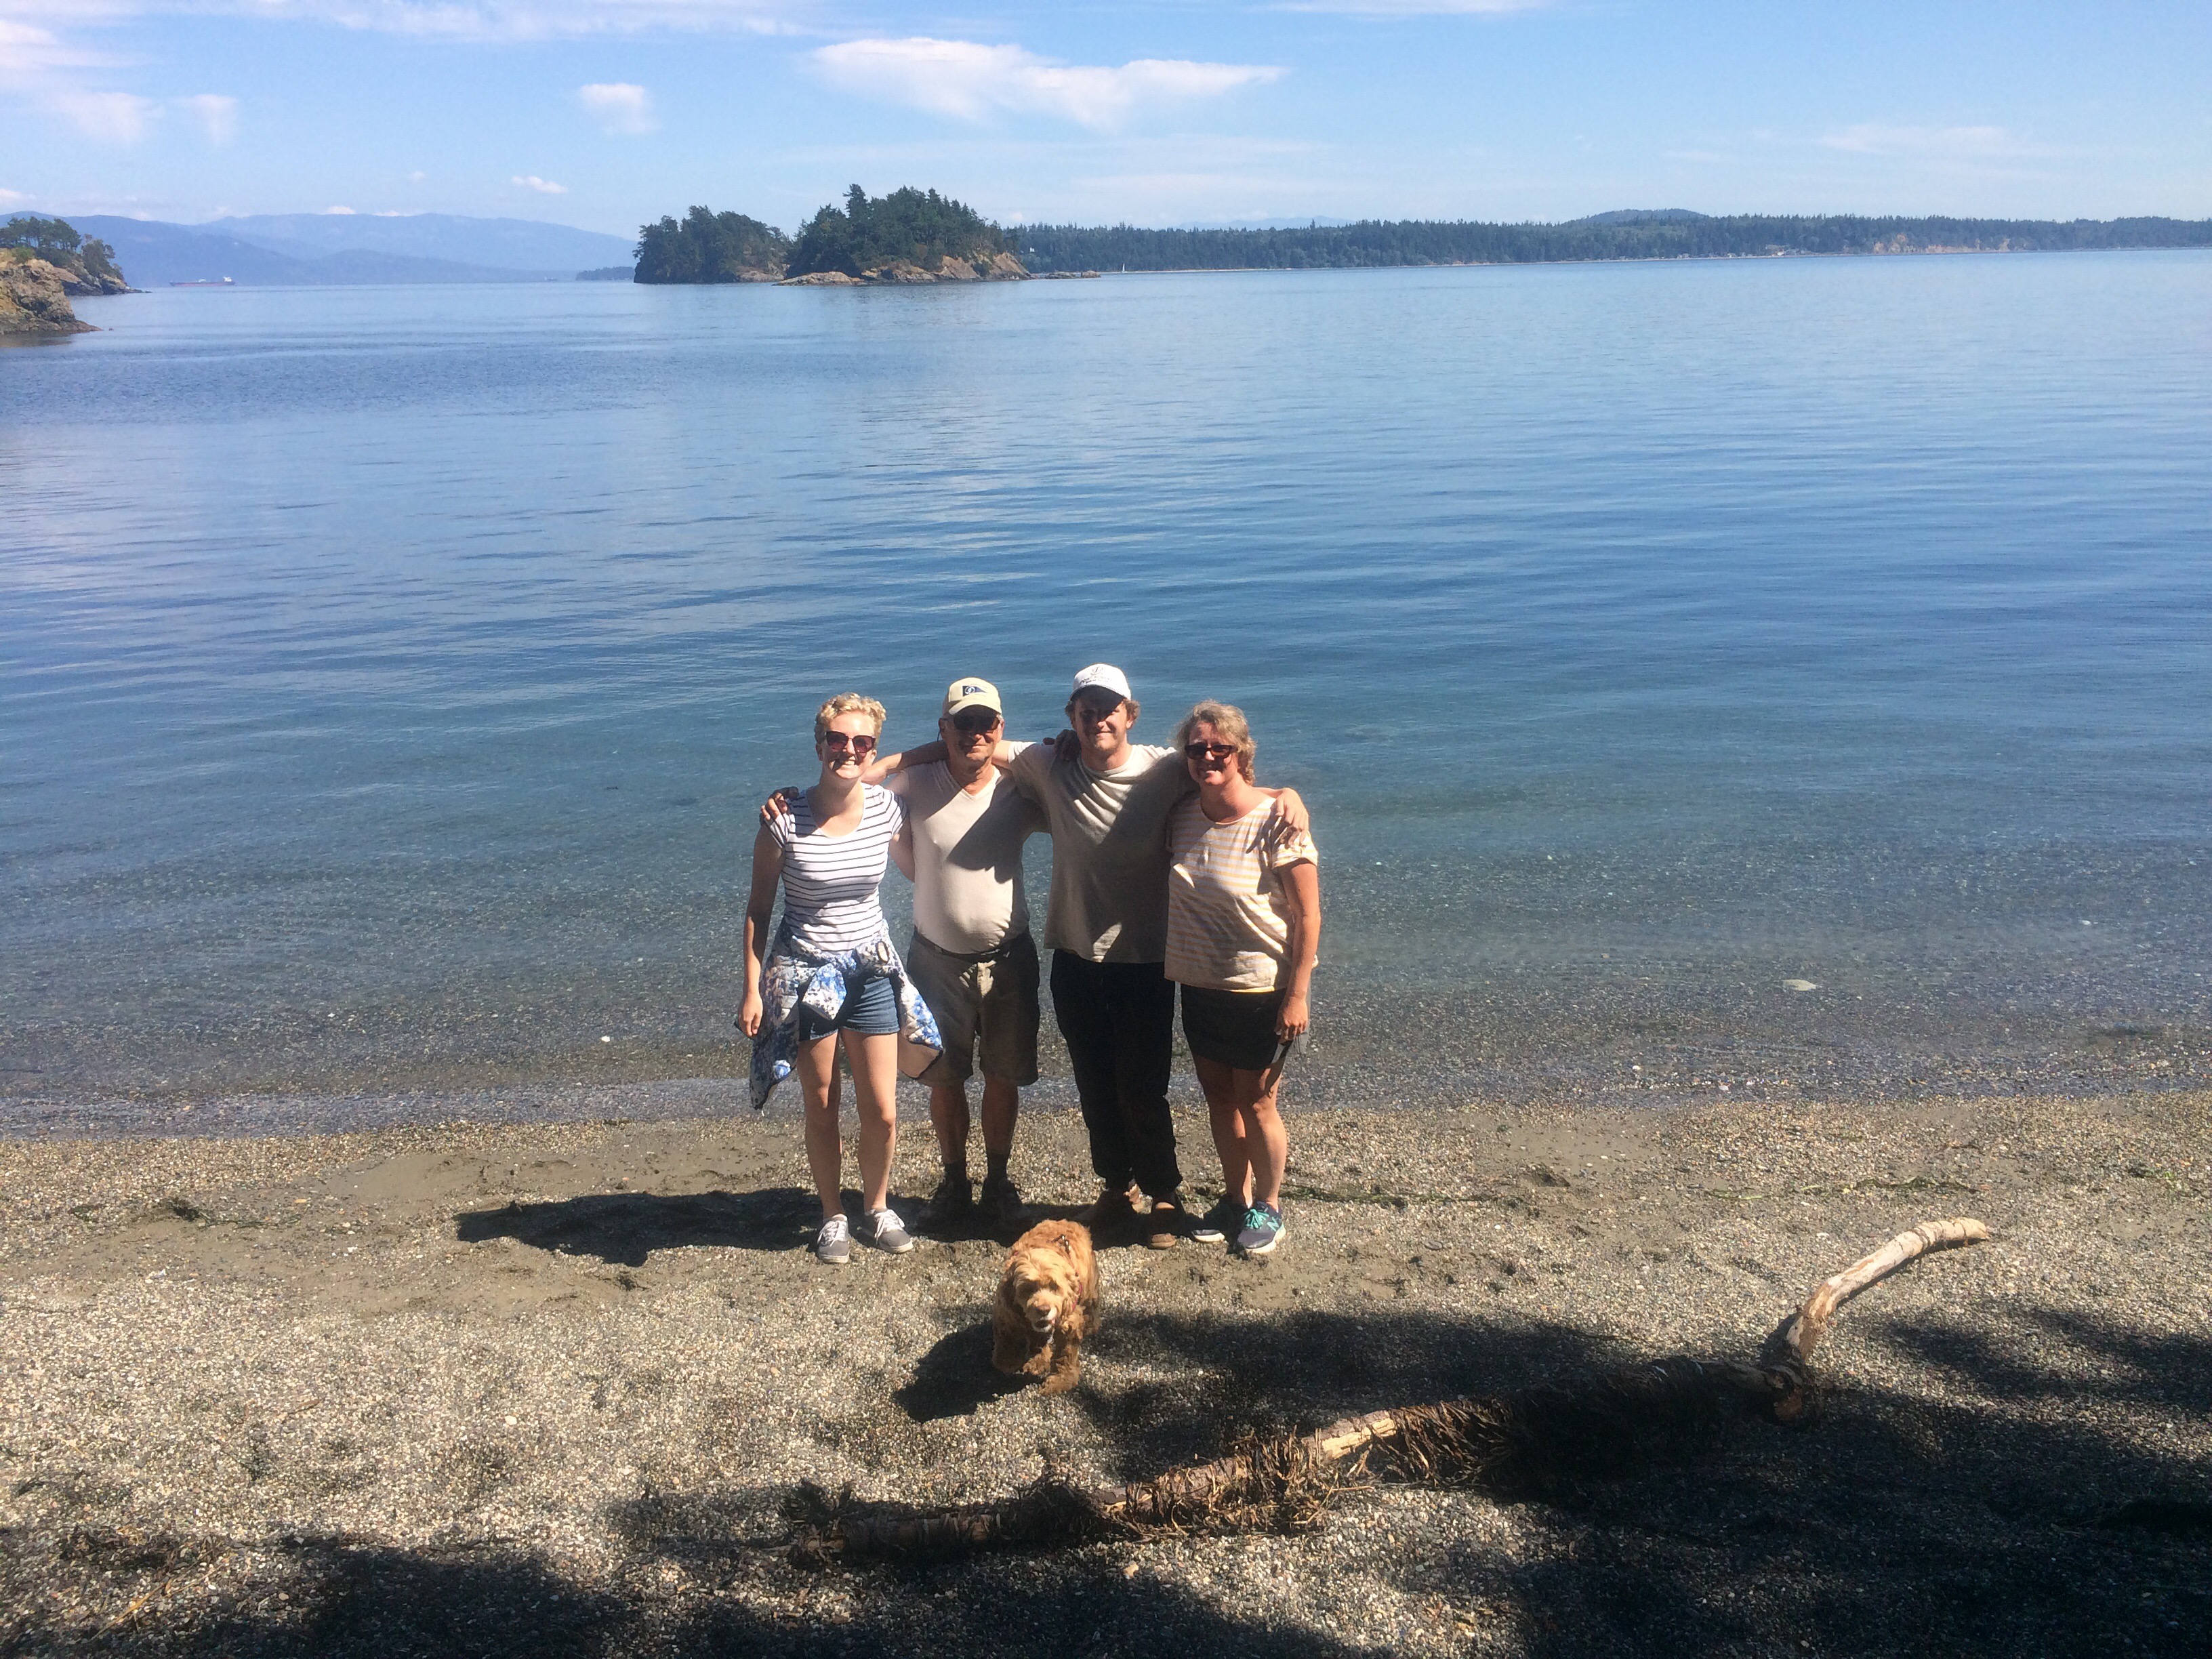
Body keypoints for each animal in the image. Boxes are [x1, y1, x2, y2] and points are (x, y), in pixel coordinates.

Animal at [991, 1219, 1099, 1396]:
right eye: (1028, 1288)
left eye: (1054, 1287)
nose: (1043, 1310)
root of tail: (1069, 1221)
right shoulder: (1007, 1311)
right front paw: (1010, 1360)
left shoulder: (1069, 1321)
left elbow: (1065, 1353)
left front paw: (1061, 1380)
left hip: (1090, 1286)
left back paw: (1092, 1324)